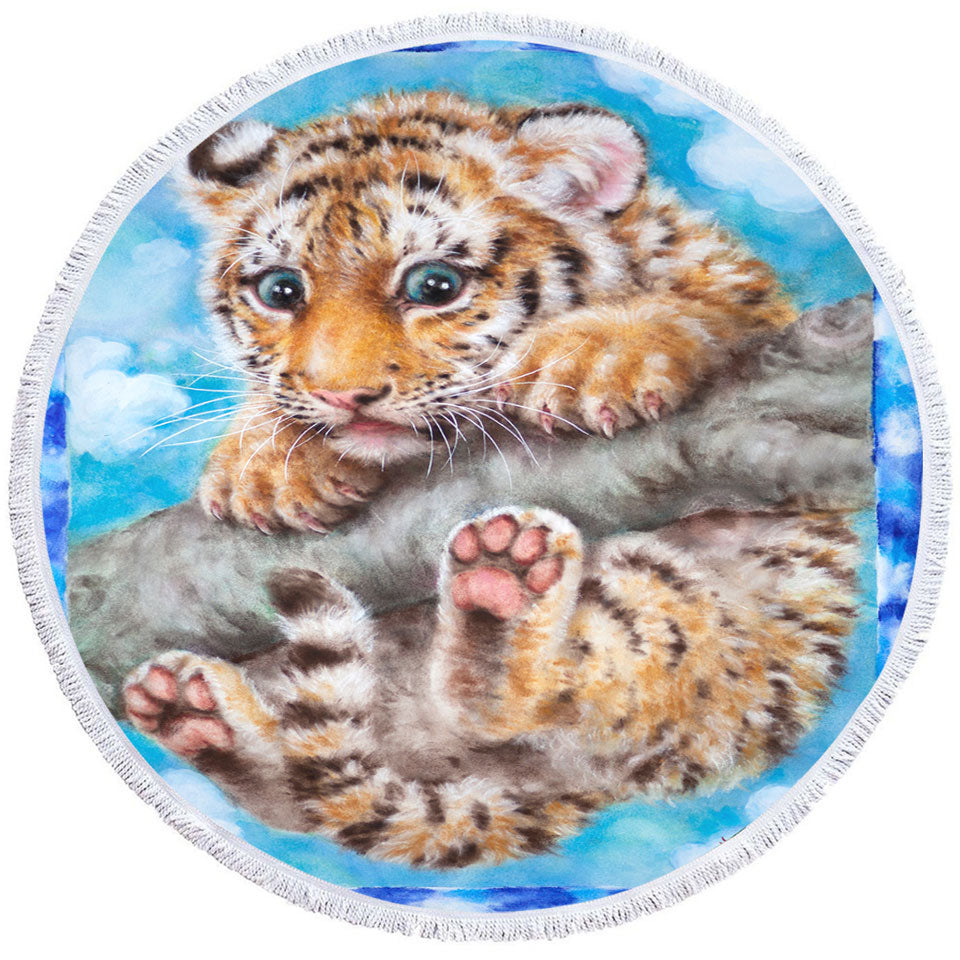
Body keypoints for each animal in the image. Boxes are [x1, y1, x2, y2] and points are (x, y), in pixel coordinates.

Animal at [180, 91, 796, 533]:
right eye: (281, 291)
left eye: (435, 286)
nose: (343, 396)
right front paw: (262, 464)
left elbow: (710, 308)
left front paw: (592, 361)